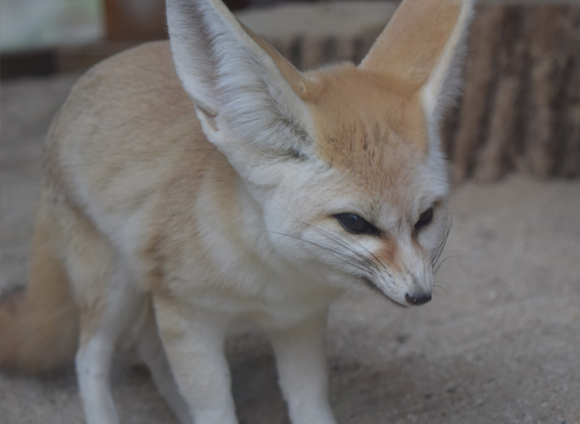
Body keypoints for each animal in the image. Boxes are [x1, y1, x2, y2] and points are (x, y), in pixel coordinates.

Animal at [0, 0, 472, 422]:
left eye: (426, 217)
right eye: (355, 223)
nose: (420, 295)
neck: (271, 279)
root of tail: (97, 70)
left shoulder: (297, 321)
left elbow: (309, 401)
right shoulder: (187, 318)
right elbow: (213, 407)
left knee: (149, 350)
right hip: (115, 291)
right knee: (89, 359)